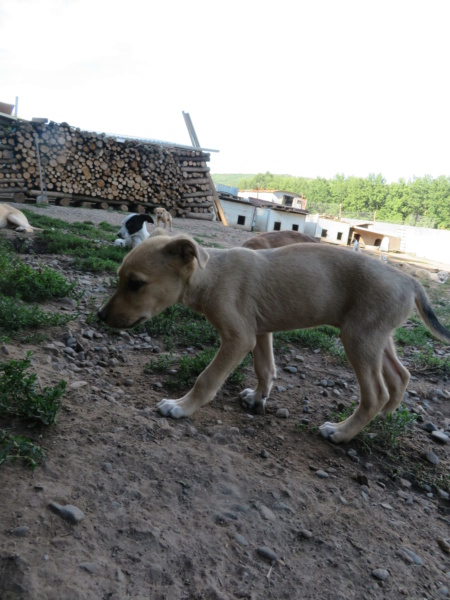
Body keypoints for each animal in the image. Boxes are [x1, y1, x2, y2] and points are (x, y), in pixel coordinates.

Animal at [98, 232, 450, 442]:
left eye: (135, 283)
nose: (100, 316)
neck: (212, 275)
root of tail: (411, 282)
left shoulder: (239, 337)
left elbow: (207, 378)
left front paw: (181, 407)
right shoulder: (260, 331)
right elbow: (265, 368)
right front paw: (258, 398)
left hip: (359, 338)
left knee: (375, 393)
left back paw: (341, 432)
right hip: (378, 337)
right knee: (400, 377)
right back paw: (383, 420)